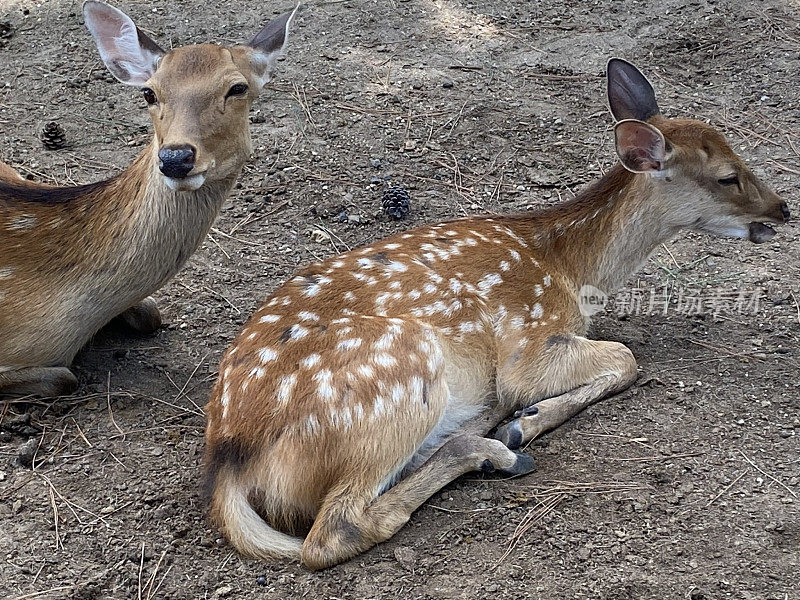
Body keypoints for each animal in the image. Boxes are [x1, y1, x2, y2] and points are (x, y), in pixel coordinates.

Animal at [203, 58, 792, 568]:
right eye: (727, 176)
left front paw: (518, 423)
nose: (782, 209)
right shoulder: (529, 341)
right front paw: (525, 423)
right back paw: (498, 448)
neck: (570, 270)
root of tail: (230, 456)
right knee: (335, 531)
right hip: (398, 377)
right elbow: (623, 359)